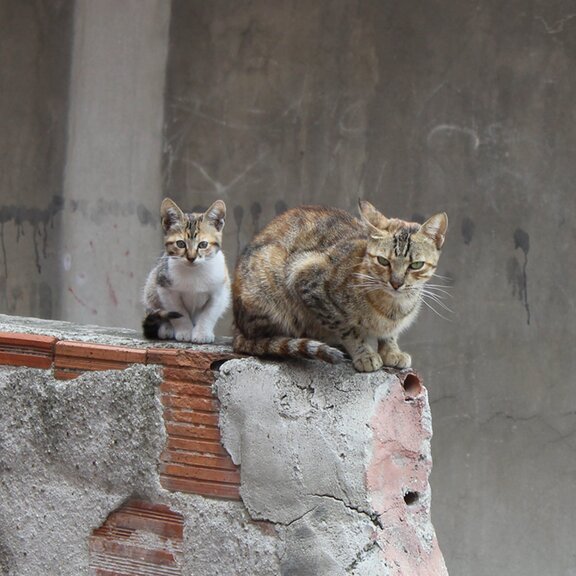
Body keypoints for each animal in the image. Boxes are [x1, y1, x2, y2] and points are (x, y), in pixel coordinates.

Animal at [142, 198, 230, 343]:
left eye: (203, 244)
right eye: (180, 244)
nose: (191, 257)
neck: (194, 272)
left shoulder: (220, 290)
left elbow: (209, 313)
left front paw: (202, 333)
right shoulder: (165, 286)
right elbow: (179, 311)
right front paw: (185, 331)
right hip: (152, 283)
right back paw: (166, 328)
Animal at [232, 200, 447, 372]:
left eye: (416, 265)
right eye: (383, 261)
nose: (396, 283)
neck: (392, 307)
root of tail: (238, 327)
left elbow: (389, 335)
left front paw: (391, 351)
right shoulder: (307, 280)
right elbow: (347, 328)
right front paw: (364, 354)